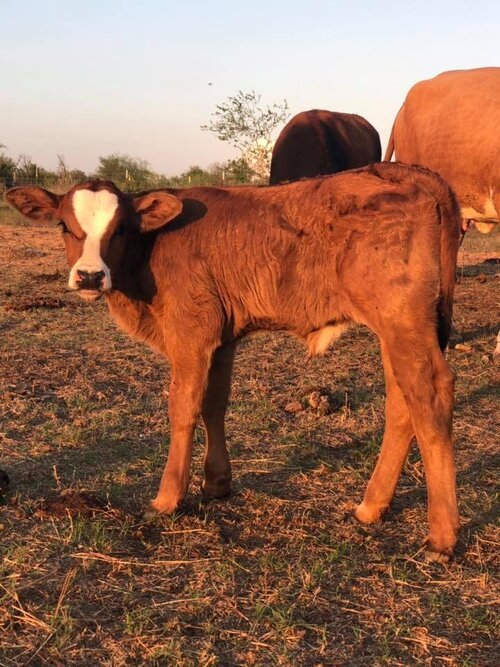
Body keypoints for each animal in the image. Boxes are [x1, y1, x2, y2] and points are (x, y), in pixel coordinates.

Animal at [6, 161, 462, 560]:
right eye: (65, 226)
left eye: (120, 229)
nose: (89, 276)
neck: (151, 251)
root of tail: (400, 171)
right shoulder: (221, 339)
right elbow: (213, 404)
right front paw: (216, 484)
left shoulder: (192, 333)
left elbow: (183, 408)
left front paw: (168, 497)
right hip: (395, 328)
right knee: (402, 403)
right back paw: (372, 506)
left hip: (402, 321)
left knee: (430, 396)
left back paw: (441, 535)